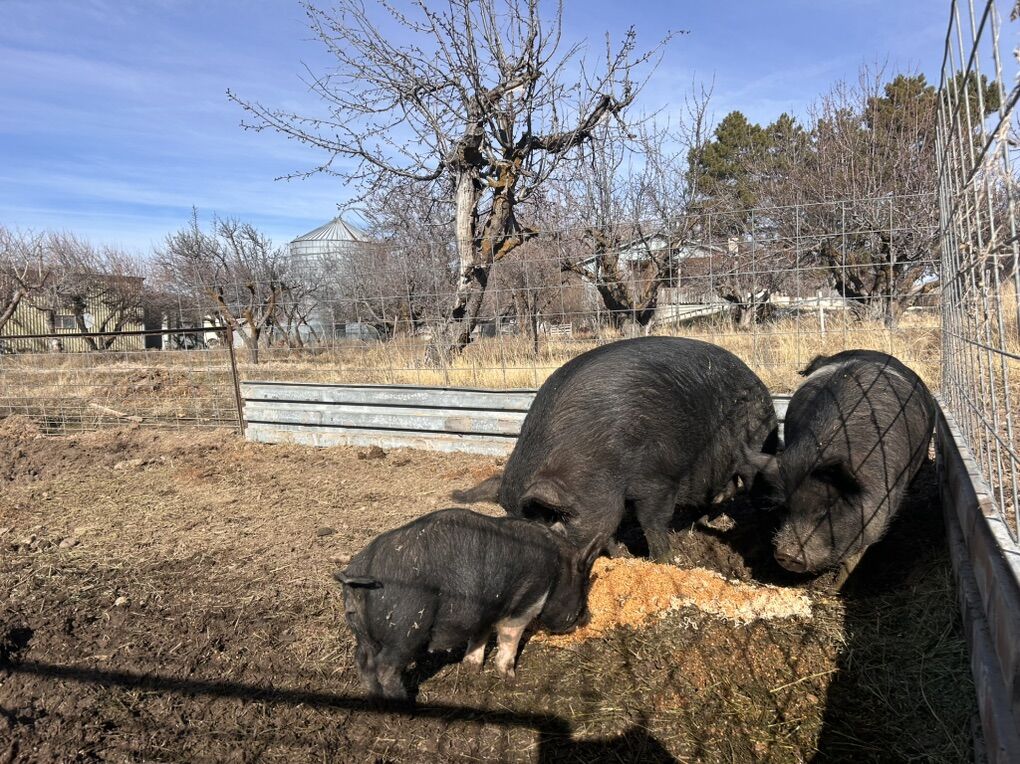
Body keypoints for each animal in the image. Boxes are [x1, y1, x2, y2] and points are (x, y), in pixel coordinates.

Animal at [334, 508, 600, 701]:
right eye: (584, 582)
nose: (586, 618)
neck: (557, 570)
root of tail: (359, 573)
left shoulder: (483, 612)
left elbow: (479, 637)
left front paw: (472, 669)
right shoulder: (525, 604)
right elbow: (509, 640)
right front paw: (510, 677)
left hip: (363, 632)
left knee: (363, 662)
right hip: (406, 628)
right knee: (385, 668)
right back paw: (406, 704)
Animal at [497, 336, 779, 562]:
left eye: (553, 524)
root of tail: (759, 383)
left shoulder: (659, 477)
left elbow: (652, 522)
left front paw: (664, 561)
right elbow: (609, 528)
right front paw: (622, 556)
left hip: (756, 441)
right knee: (724, 491)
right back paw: (700, 521)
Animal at [748, 350, 936, 587]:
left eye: (826, 510)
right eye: (785, 508)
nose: (787, 554)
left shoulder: (878, 511)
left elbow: (854, 557)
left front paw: (833, 589)